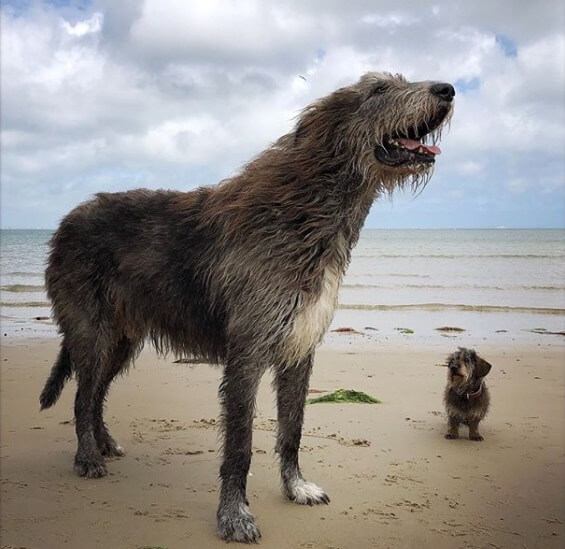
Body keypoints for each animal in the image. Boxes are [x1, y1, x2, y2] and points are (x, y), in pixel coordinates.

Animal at [39, 70, 454, 540]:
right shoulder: (247, 352)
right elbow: (239, 446)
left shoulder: (299, 348)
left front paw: (296, 487)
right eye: (379, 89)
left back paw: (105, 443)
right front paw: (234, 515)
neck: (303, 213)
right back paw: (88, 457)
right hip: (91, 330)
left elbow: (292, 429)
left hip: (123, 339)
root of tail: (65, 222)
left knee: (96, 395)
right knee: (82, 395)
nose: (447, 89)